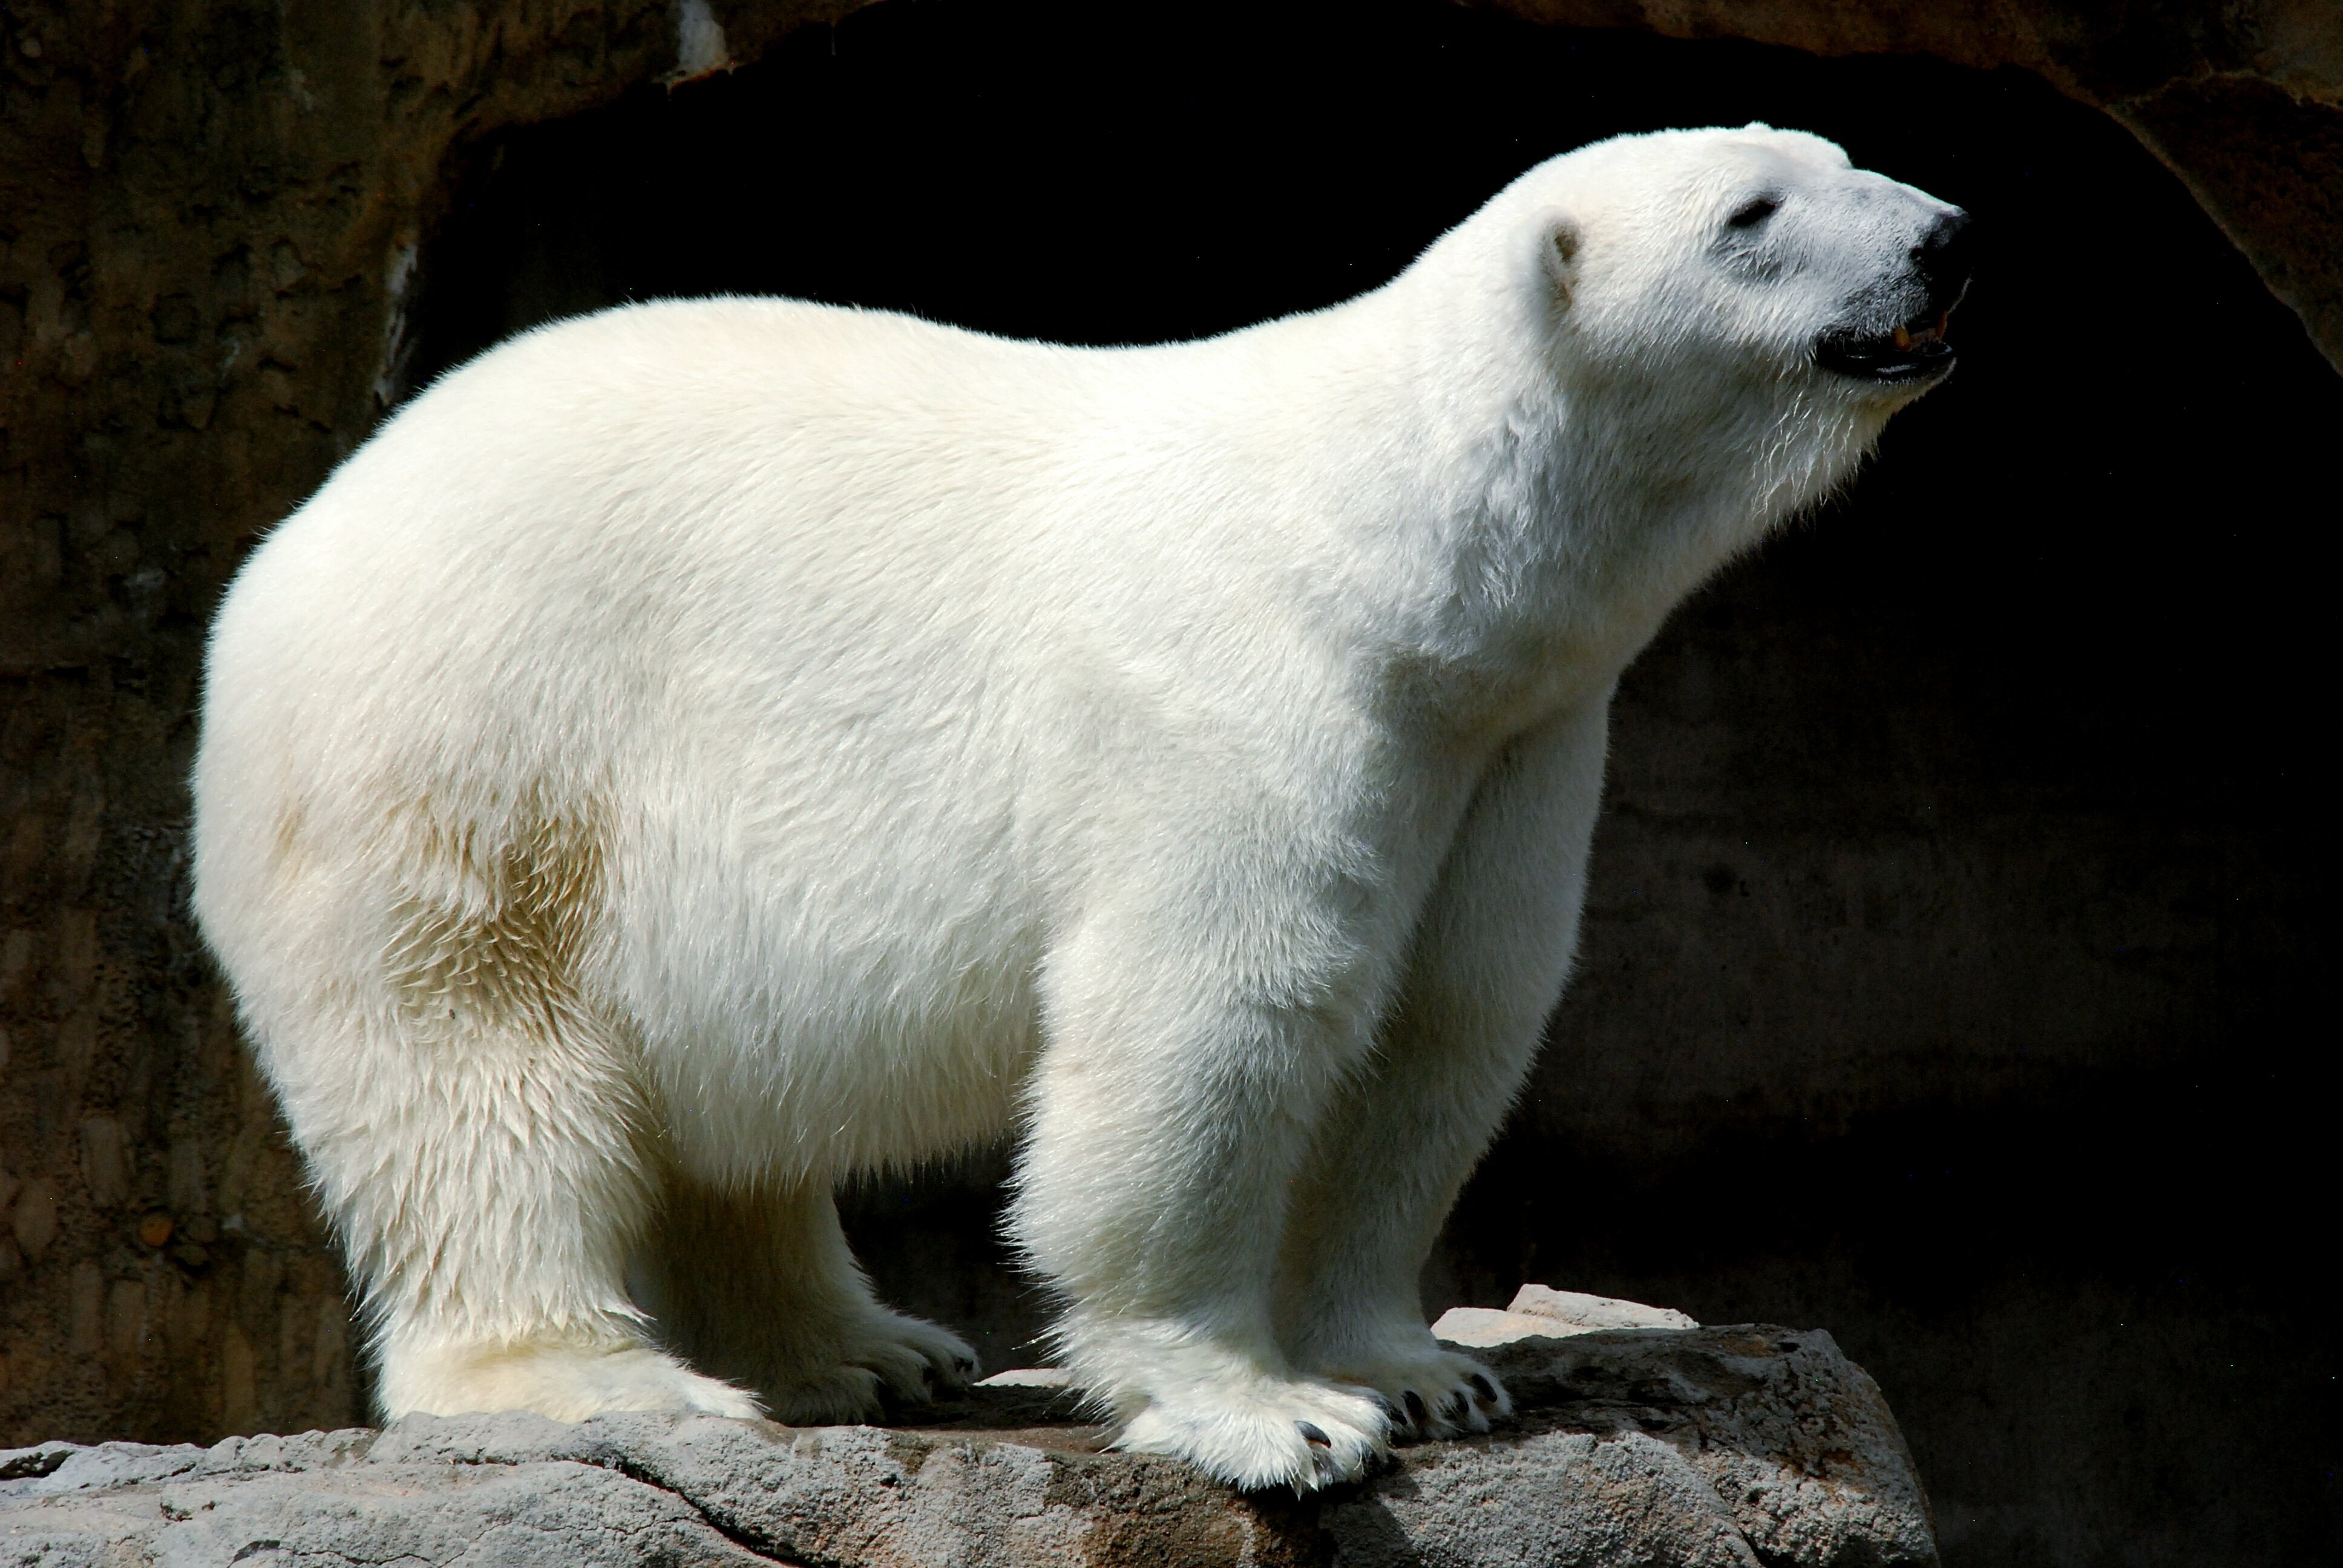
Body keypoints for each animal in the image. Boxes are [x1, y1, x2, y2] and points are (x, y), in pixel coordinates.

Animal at [190, 124, 1969, 1492]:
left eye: (1833, 154)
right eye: (1752, 214)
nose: (1948, 240)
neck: (1403, 547)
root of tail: (293, 545)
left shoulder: (1514, 739)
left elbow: (1443, 1027)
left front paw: (1419, 1368)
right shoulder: (1251, 694)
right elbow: (1218, 1021)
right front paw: (1271, 1419)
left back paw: (869, 1350)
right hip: (471, 760)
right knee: (477, 1074)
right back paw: (600, 1375)